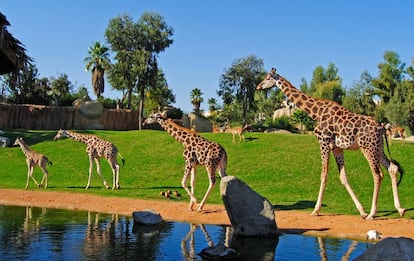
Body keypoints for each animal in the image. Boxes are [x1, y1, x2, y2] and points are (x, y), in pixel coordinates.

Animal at [256, 68, 404, 218]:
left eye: (268, 78)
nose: (258, 86)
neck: (316, 112)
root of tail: (381, 128)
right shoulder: (337, 148)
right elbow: (343, 177)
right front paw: (361, 210)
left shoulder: (323, 141)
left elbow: (324, 175)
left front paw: (315, 210)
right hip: (378, 148)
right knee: (392, 168)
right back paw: (400, 209)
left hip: (367, 147)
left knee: (377, 174)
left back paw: (372, 214)